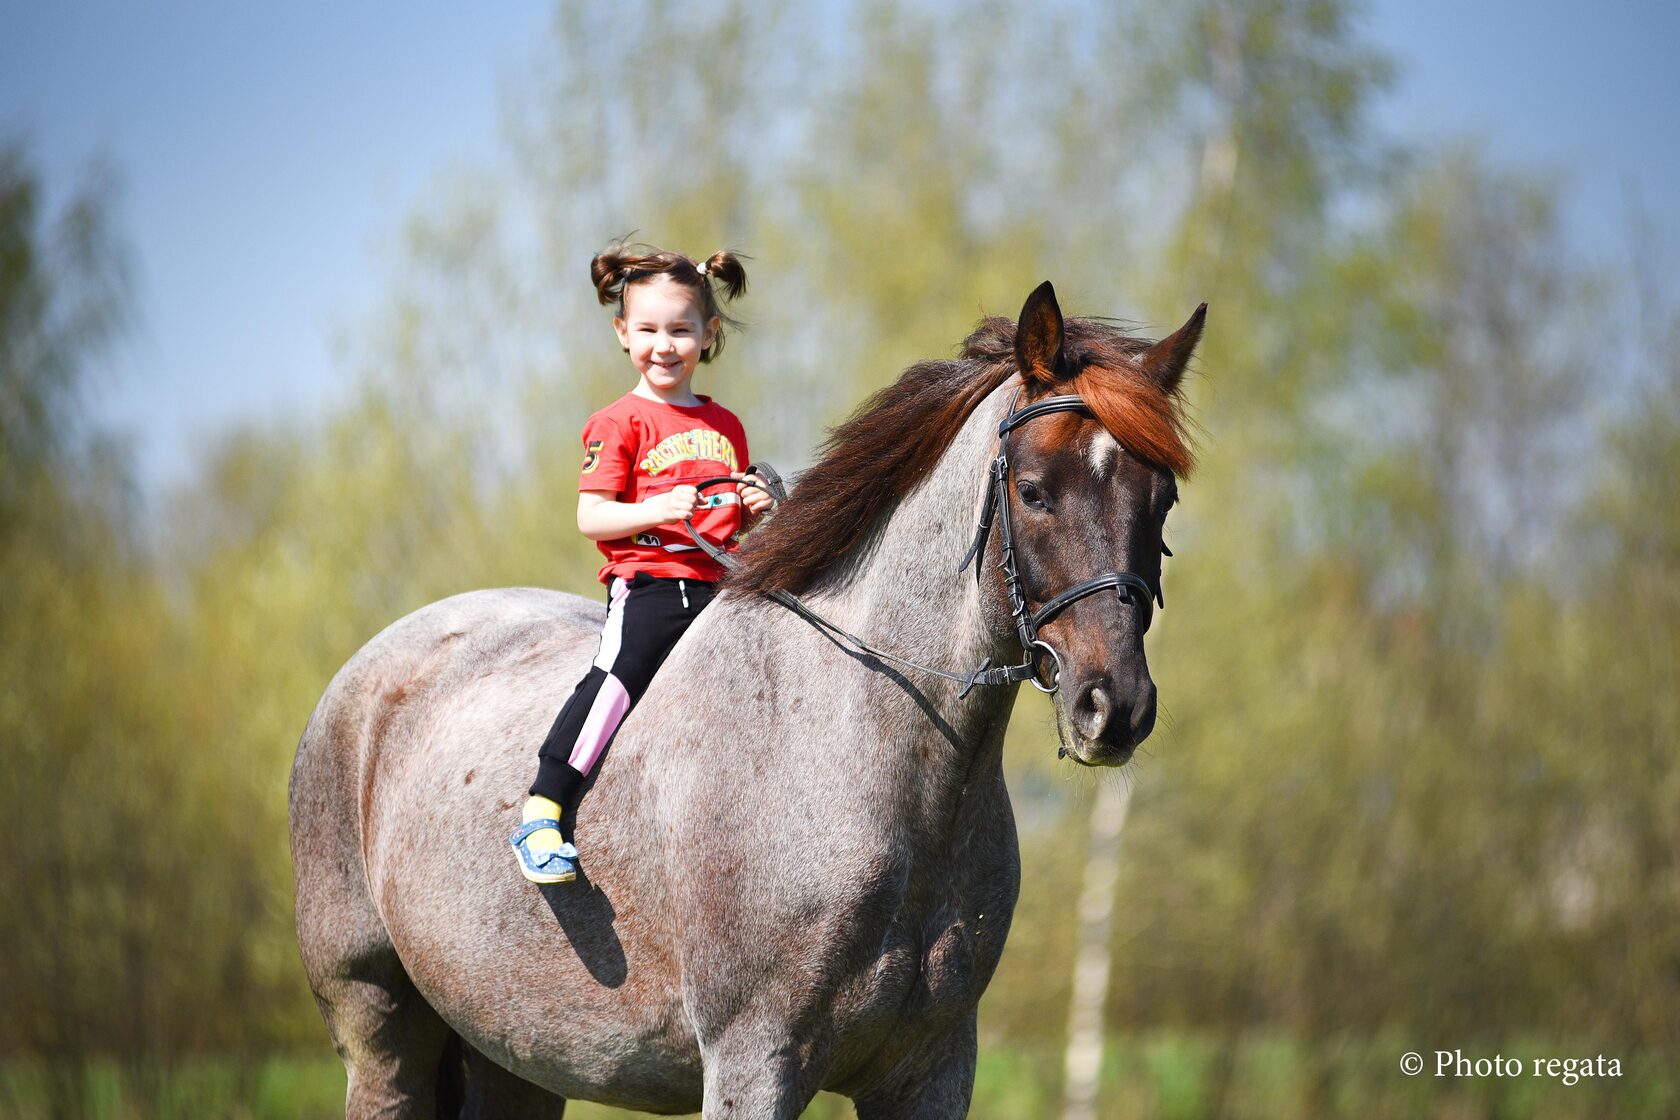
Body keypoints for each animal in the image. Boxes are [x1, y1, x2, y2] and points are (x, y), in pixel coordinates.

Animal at [292, 278, 1209, 1114]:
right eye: (1033, 489)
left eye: (1161, 500)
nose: (1113, 707)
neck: (865, 749)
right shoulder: (755, 1061)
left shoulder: (933, 1068)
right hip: (379, 1028)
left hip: (513, 1055)